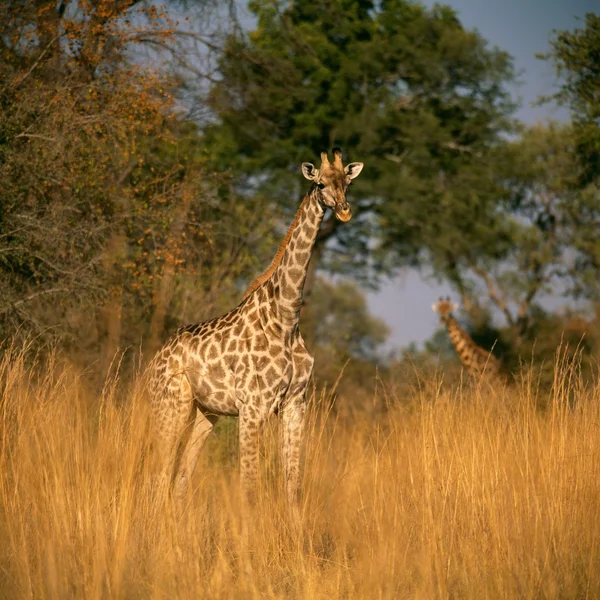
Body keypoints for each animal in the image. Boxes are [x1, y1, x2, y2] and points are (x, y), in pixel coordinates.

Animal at [148, 148, 364, 508]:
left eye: (347, 182)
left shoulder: (295, 404)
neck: (286, 317)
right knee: (159, 472)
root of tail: (151, 364)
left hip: (205, 413)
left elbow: (292, 485)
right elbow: (248, 486)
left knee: (180, 477)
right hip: (170, 405)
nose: (345, 210)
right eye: (320, 183)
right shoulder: (252, 406)